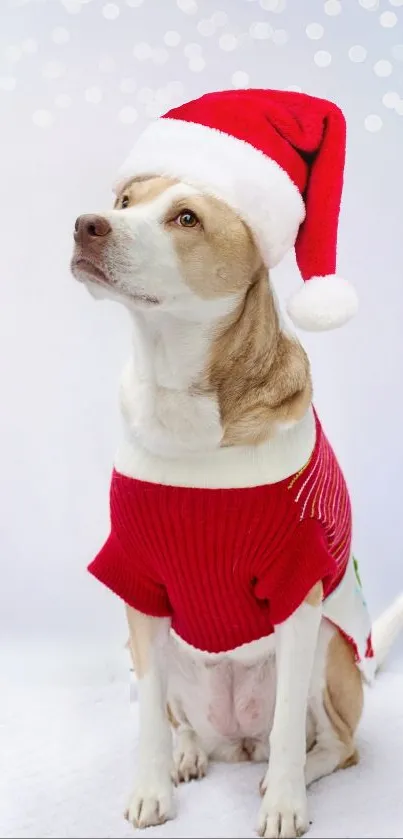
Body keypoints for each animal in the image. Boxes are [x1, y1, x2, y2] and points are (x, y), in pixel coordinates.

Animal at [71, 90, 403, 839]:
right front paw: (152, 789)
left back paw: (289, 774)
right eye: (125, 199)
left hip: (328, 650)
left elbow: (287, 733)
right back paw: (192, 752)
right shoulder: (139, 584)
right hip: (169, 653)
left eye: (186, 218)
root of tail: (236, 738)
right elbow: (147, 720)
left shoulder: (297, 587)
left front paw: (283, 804)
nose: (86, 225)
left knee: (328, 742)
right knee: (181, 718)